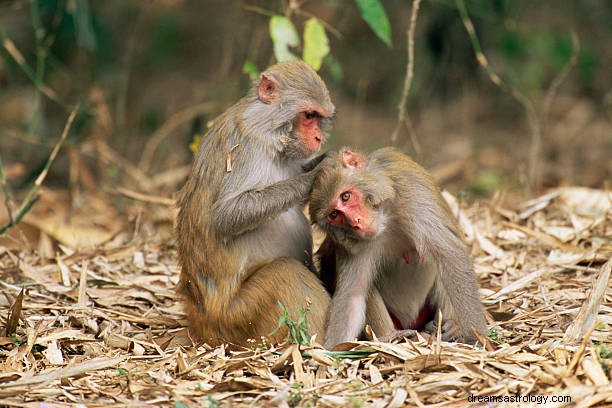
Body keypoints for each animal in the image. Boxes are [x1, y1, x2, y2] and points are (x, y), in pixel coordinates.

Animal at [175, 61, 338, 348]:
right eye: (309, 115)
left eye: (319, 118)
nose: (318, 137)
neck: (268, 124)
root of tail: (200, 321)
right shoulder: (247, 146)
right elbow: (227, 216)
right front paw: (318, 173)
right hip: (238, 316)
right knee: (286, 272)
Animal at [310, 148, 488, 350]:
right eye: (334, 214)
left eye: (345, 196)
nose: (356, 222)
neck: (387, 216)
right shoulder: (354, 244)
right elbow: (352, 296)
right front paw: (330, 352)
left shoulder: (413, 193)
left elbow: (451, 257)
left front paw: (477, 337)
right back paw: (393, 338)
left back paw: (451, 328)